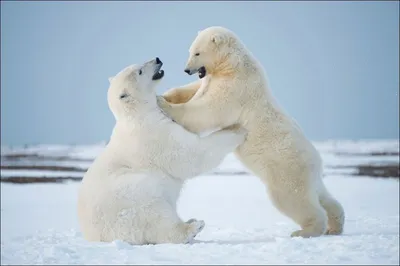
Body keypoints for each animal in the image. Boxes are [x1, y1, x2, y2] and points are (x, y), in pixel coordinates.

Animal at [76, 57, 245, 244]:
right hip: (130, 196)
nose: (157, 59)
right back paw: (193, 226)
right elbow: (191, 155)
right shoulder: (155, 135)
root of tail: (93, 236)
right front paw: (237, 129)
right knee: (155, 213)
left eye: (139, 65)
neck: (138, 115)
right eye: (140, 71)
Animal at [158, 27, 346, 238]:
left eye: (197, 53)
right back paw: (334, 225)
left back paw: (304, 231)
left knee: (293, 198)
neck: (234, 65)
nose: (186, 69)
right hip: (310, 175)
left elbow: (208, 110)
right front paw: (166, 94)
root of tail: (316, 160)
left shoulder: (237, 88)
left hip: (286, 170)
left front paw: (163, 103)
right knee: (323, 196)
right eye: (190, 51)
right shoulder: (216, 79)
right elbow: (194, 89)